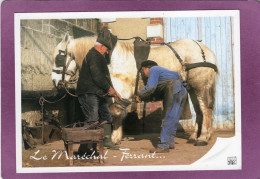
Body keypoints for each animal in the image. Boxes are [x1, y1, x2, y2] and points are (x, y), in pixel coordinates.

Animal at [51, 32, 218, 147]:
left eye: (58, 58)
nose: (55, 81)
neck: (111, 58)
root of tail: (205, 50)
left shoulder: (122, 89)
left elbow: (116, 113)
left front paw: (114, 138)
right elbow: (113, 111)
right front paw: (115, 137)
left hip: (201, 86)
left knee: (205, 108)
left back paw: (203, 137)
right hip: (191, 88)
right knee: (199, 110)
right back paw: (195, 136)